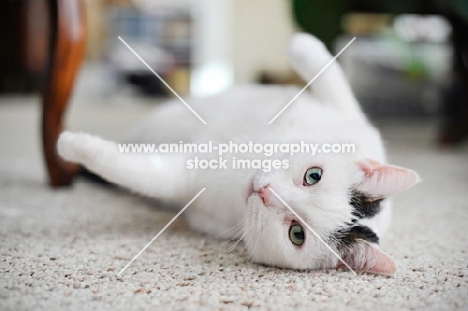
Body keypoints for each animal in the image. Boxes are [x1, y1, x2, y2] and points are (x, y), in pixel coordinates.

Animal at [57, 33, 420, 278]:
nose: (266, 191)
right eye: (313, 175)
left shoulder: (186, 179)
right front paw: (301, 43)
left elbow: (134, 169)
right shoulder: (351, 117)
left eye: (297, 234)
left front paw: (72, 145)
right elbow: (331, 74)